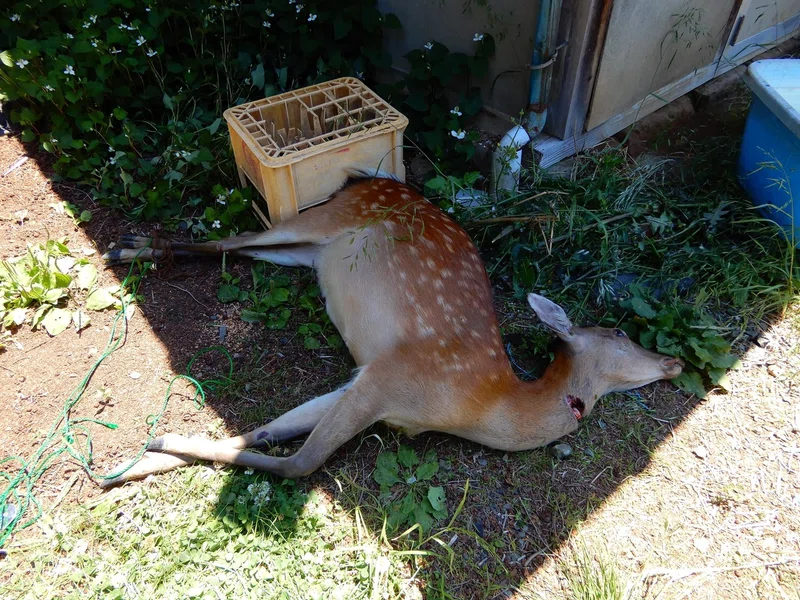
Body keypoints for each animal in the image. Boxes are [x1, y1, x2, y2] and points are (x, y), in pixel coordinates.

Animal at [100, 167, 683, 487]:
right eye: (621, 334)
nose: (674, 361)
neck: (482, 404)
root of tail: (364, 178)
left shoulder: (363, 379)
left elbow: (268, 430)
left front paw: (142, 458)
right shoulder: (387, 378)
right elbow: (300, 463)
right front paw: (150, 448)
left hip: (309, 254)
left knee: (240, 246)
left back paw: (134, 247)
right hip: (323, 218)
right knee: (232, 237)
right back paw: (127, 246)